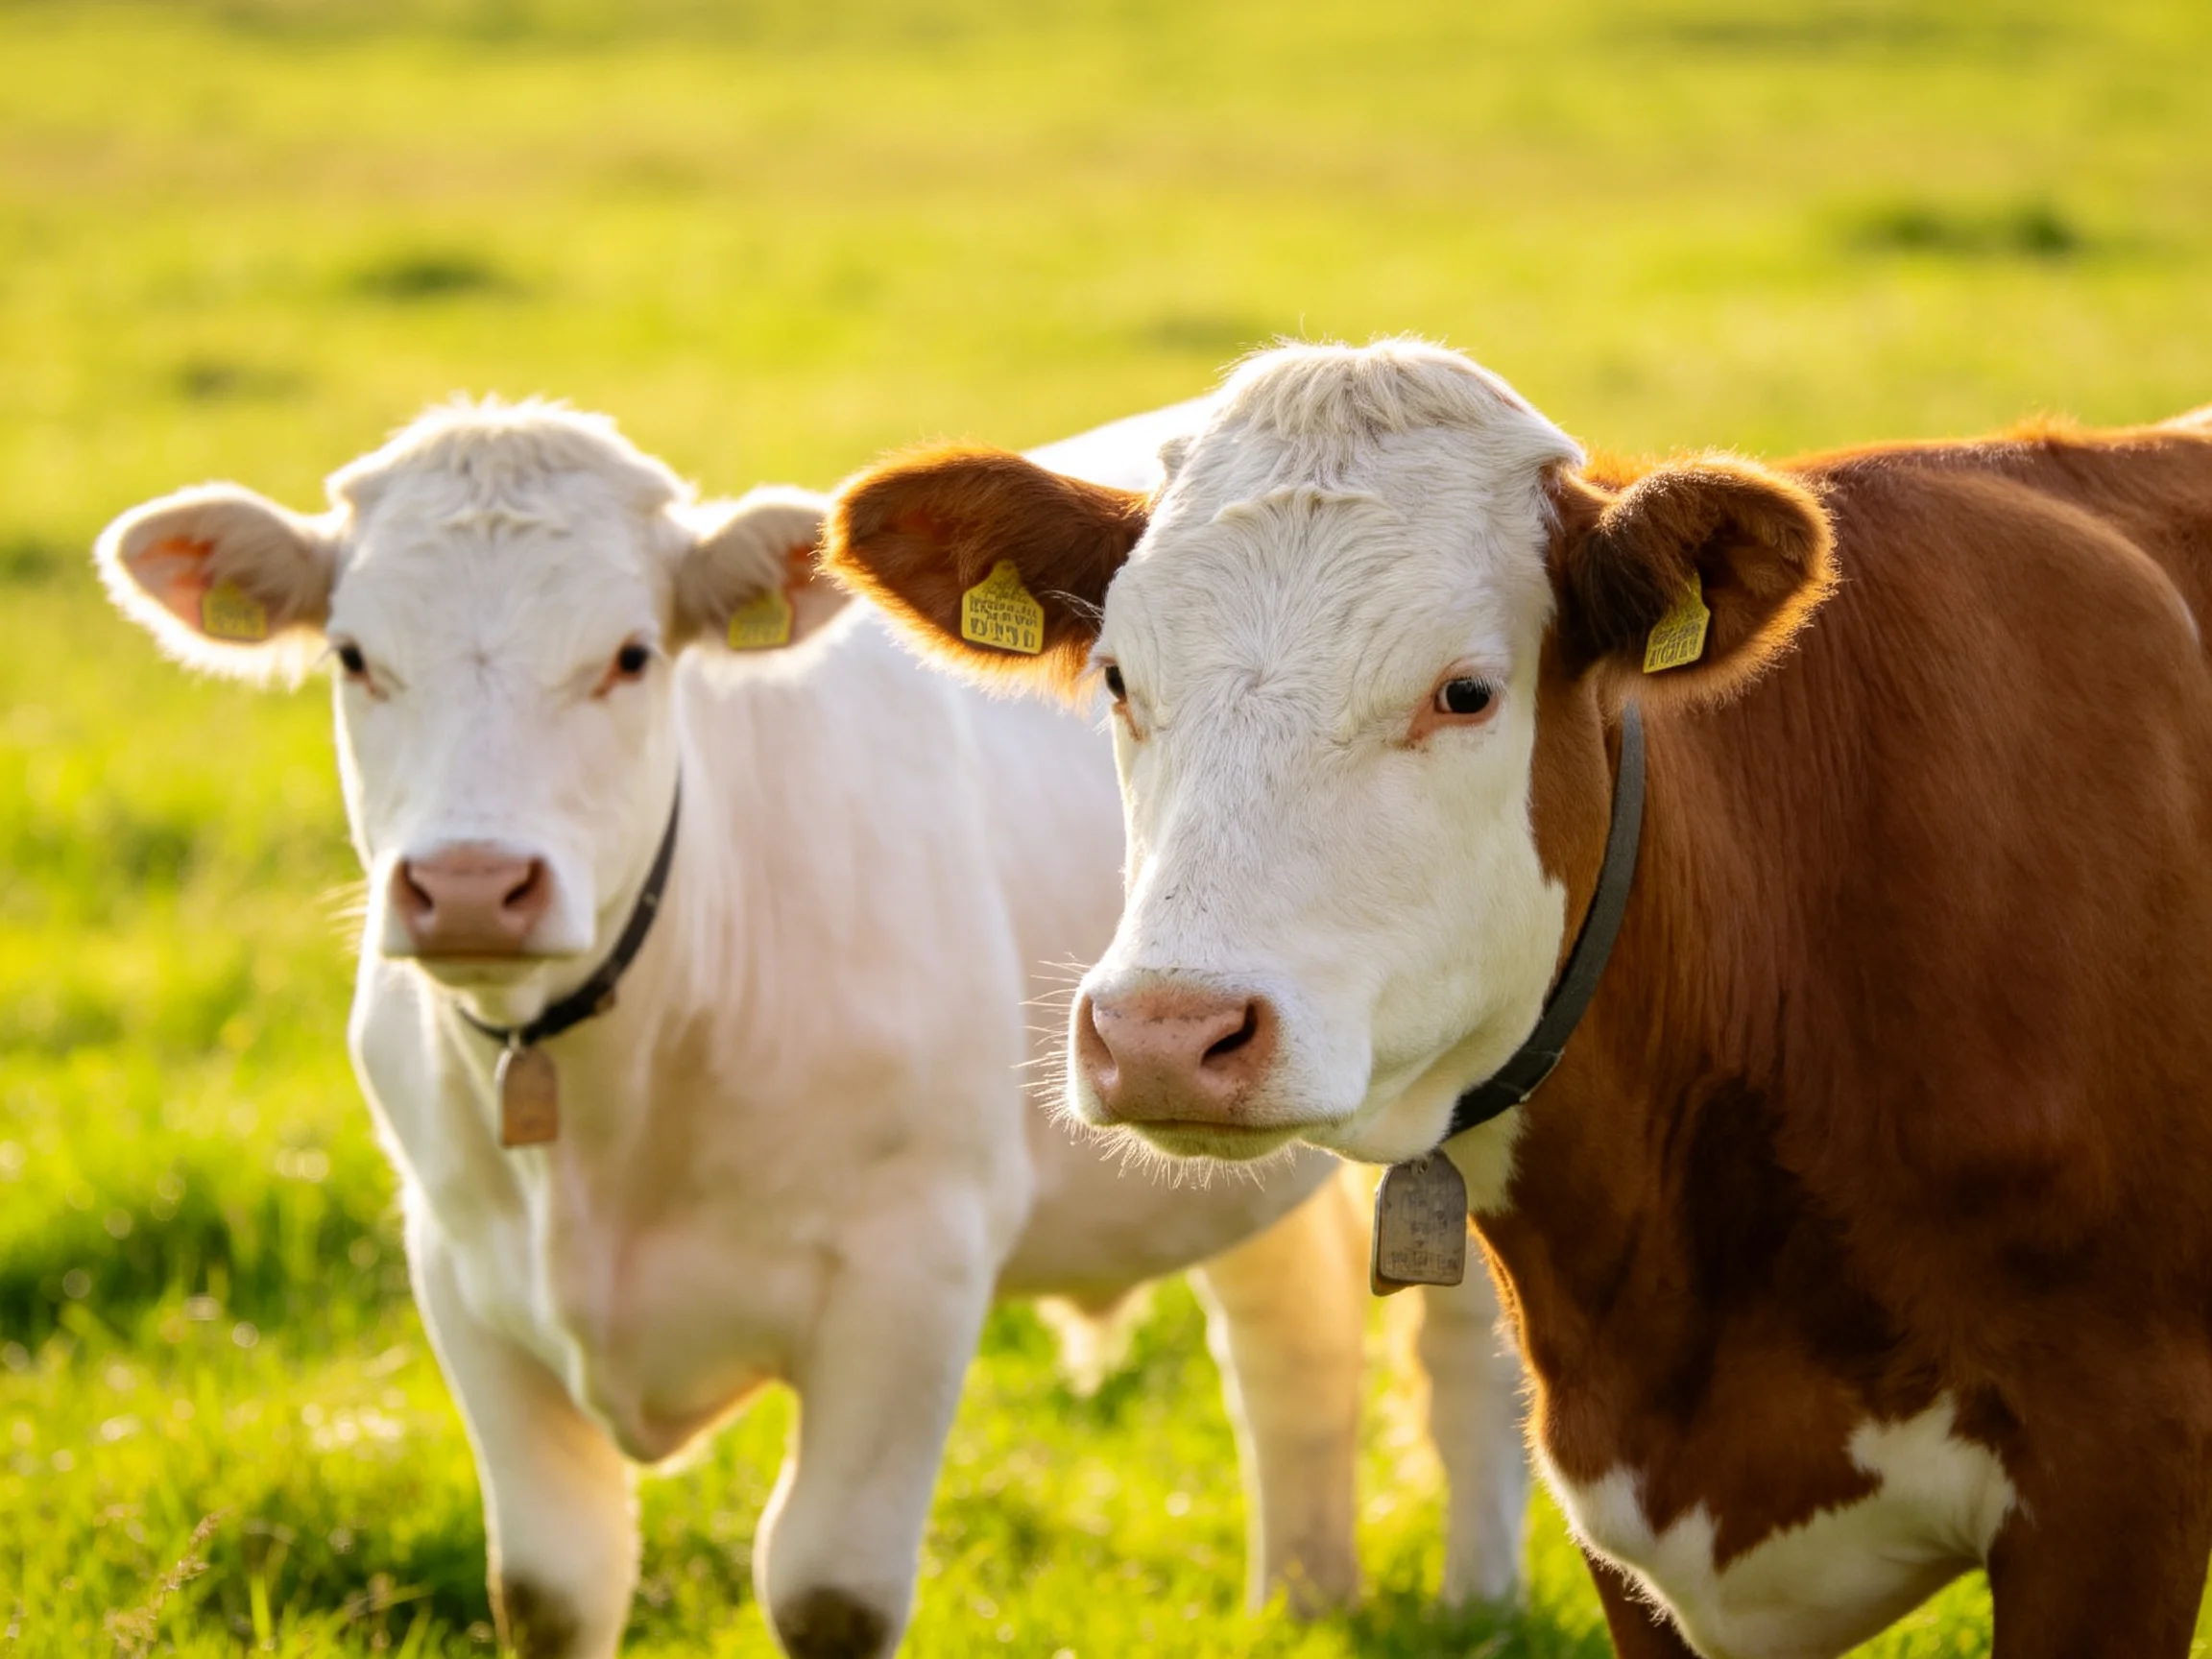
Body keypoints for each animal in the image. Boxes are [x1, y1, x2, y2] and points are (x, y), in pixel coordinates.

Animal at [93, 395, 1530, 1659]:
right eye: (352, 656)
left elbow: (828, 1587)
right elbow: (553, 1586)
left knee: (1469, 1363)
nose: (470, 884)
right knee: (1290, 1333)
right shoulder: (458, 1269)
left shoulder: (911, 1271)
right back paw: (1303, 1597)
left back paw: (1479, 1603)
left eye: (630, 655)